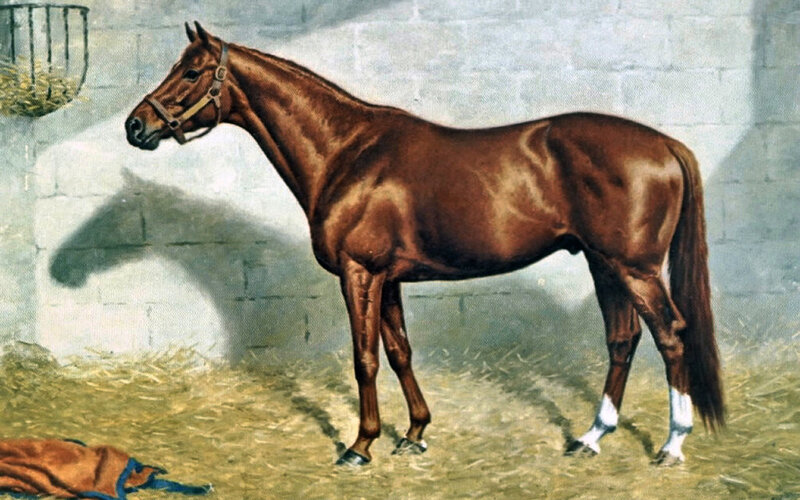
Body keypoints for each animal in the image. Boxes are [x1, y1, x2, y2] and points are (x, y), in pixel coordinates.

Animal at [125, 22, 723, 467]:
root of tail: (665, 144)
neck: (348, 153)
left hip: (634, 268)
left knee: (670, 334)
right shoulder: (387, 278)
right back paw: (590, 438)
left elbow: (365, 358)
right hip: (605, 265)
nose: (135, 126)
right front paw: (414, 434)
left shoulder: (359, 273)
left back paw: (672, 445)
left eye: (192, 71)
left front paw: (360, 445)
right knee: (623, 339)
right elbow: (400, 352)